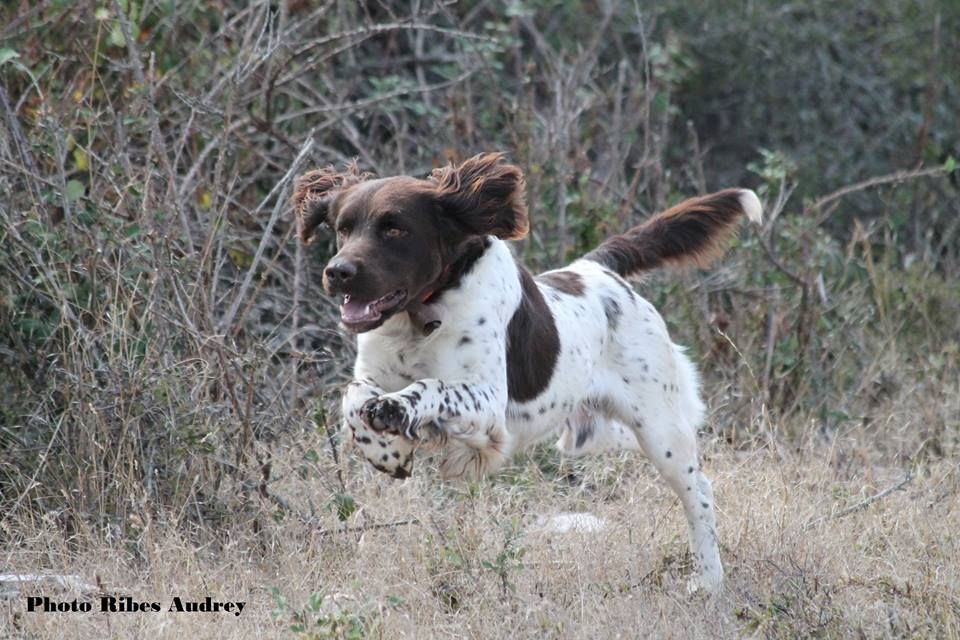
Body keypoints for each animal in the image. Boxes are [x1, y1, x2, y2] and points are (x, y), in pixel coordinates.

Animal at [292, 151, 756, 592]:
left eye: (395, 229)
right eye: (343, 228)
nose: (338, 272)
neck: (422, 313)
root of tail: (597, 269)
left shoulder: (487, 405)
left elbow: (429, 385)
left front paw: (395, 412)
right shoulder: (373, 373)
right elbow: (354, 396)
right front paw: (386, 452)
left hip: (661, 429)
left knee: (699, 494)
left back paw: (710, 581)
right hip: (591, 434)